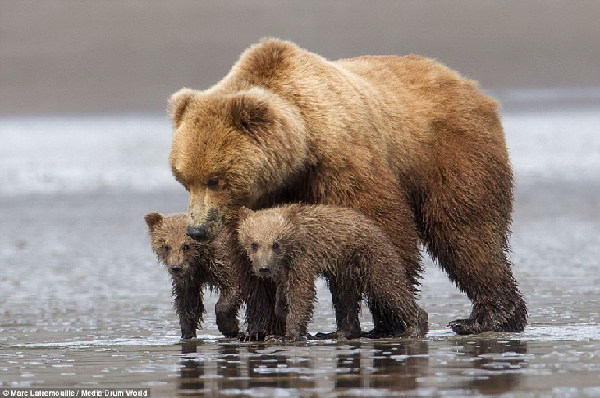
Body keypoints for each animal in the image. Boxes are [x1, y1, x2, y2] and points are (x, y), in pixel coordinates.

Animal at [168, 38, 524, 336]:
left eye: (214, 179)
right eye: (183, 179)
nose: (197, 230)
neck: (299, 150)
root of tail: (468, 84)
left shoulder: (341, 162)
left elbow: (382, 230)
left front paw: (388, 319)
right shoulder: (260, 198)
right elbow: (250, 252)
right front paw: (260, 327)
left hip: (448, 152)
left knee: (464, 231)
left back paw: (487, 318)